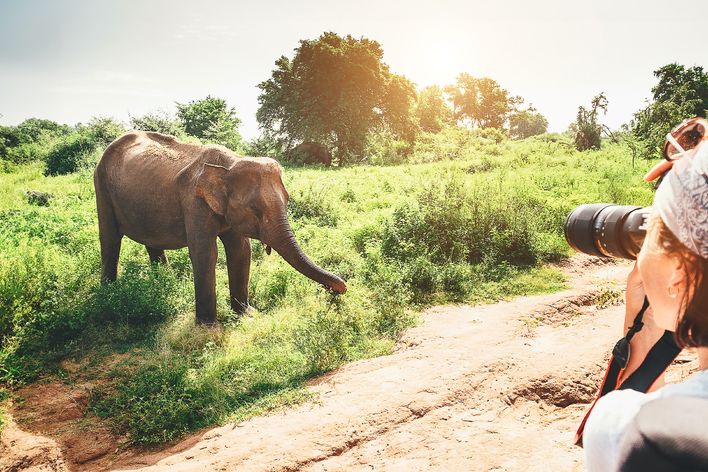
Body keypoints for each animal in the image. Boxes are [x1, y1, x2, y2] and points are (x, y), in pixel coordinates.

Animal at [93, 131, 347, 324]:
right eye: (254, 209)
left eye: (288, 200)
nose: (340, 288)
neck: (229, 165)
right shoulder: (194, 202)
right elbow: (205, 253)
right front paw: (208, 327)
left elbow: (241, 251)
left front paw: (246, 315)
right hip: (101, 184)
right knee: (110, 238)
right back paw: (108, 295)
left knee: (152, 243)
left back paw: (164, 283)